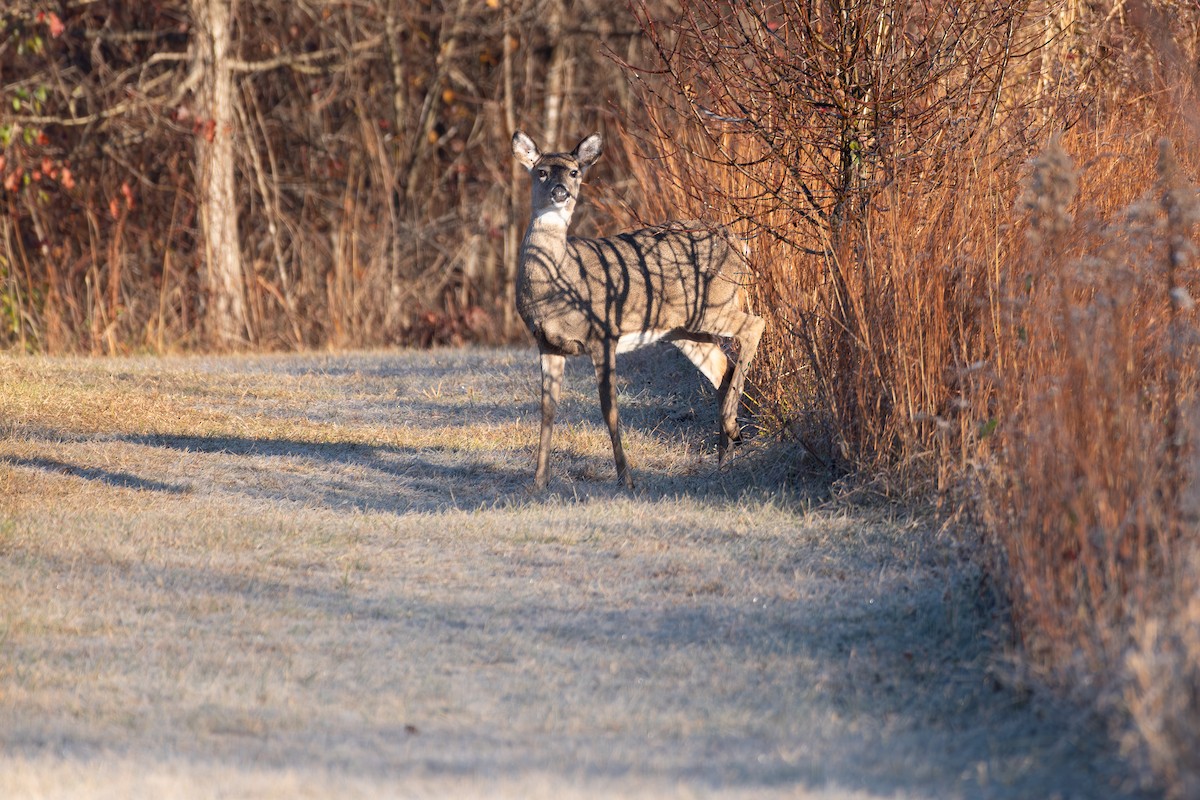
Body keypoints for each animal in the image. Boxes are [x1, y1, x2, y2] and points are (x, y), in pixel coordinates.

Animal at [512, 130, 765, 490]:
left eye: (574, 172)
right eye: (542, 172)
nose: (561, 192)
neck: (557, 282)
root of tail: (741, 243)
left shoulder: (604, 333)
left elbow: (609, 409)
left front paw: (626, 479)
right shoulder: (547, 343)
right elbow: (547, 409)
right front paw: (539, 481)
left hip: (714, 304)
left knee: (755, 325)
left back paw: (731, 431)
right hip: (684, 328)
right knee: (722, 368)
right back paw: (724, 458)